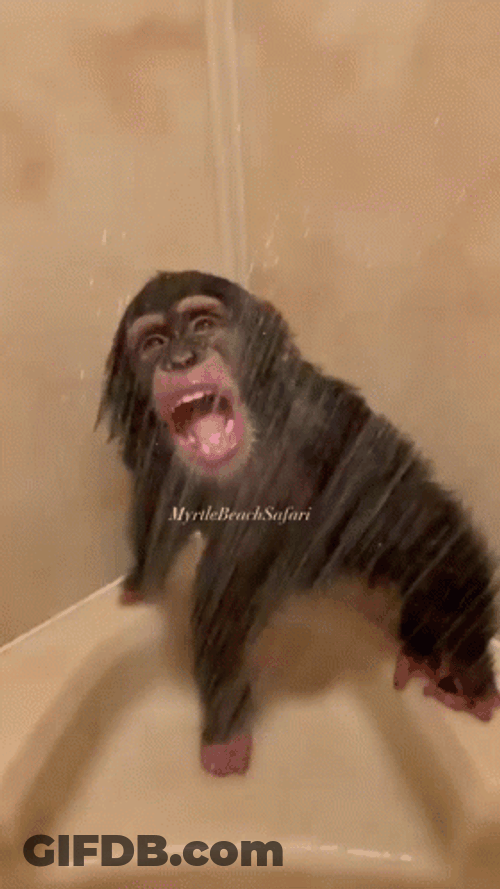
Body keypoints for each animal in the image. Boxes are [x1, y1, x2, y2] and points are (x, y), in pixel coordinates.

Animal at [96, 270, 500, 776]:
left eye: (204, 323)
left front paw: (467, 666)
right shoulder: (151, 453)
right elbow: (155, 504)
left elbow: (412, 514)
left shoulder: (330, 423)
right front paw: (140, 582)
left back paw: (443, 655)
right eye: (153, 342)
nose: (181, 357)